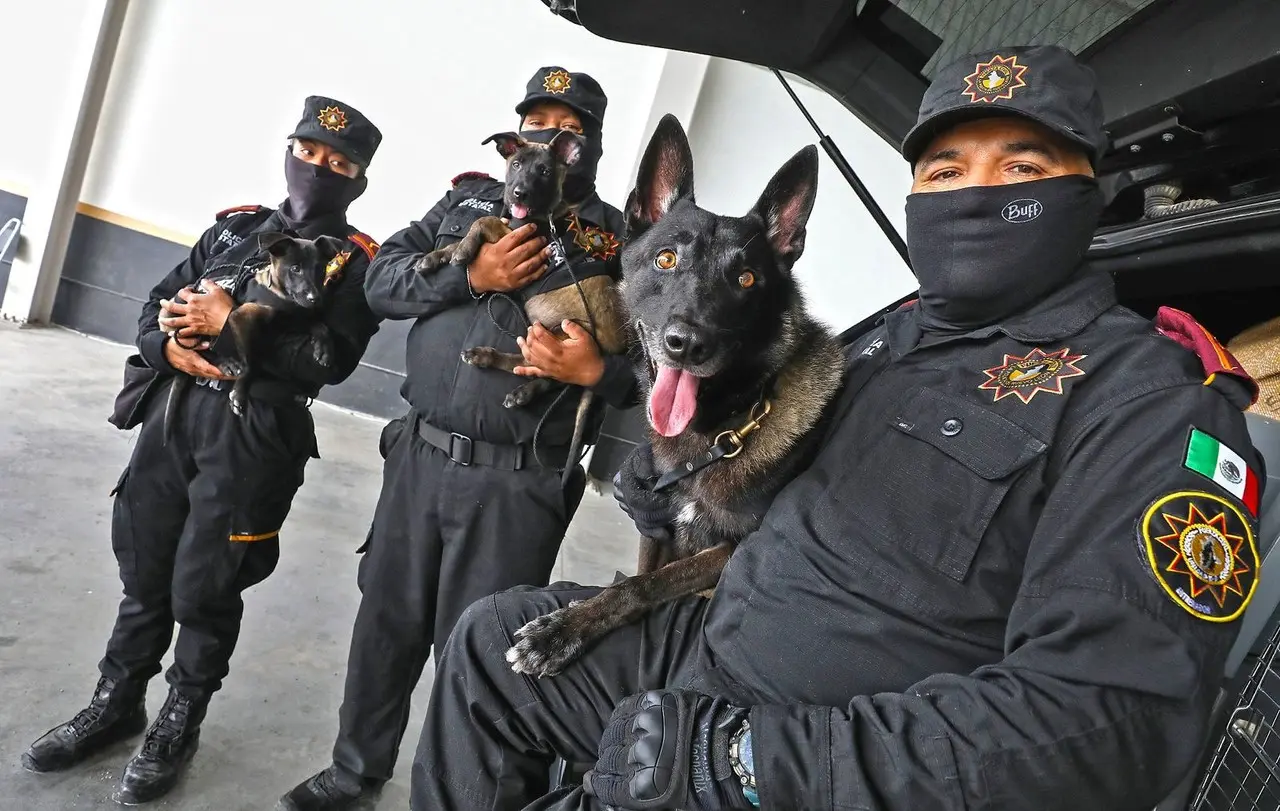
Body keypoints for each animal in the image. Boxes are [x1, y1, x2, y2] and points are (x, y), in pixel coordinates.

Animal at [162, 228, 348, 434]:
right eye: (295, 269)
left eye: (320, 269)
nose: (315, 299)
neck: (282, 297)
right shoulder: (241, 318)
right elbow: (252, 362)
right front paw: (239, 394)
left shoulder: (294, 320)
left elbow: (320, 325)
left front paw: (324, 350)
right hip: (188, 326)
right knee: (199, 349)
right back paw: (225, 363)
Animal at [417, 129, 627, 475]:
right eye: (516, 164)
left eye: (544, 171)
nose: (519, 194)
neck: (544, 218)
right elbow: (467, 234)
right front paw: (437, 257)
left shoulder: (519, 240)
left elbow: (482, 222)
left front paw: (463, 250)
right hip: (539, 331)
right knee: (540, 372)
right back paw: (498, 369)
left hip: (562, 333)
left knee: (549, 374)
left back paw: (506, 377)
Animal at [504, 113, 844, 675]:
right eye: (666, 259)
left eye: (746, 279)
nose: (687, 344)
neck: (721, 430)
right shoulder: (656, 527)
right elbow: (644, 571)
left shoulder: (728, 553)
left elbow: (645, 585)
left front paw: (560, 631)